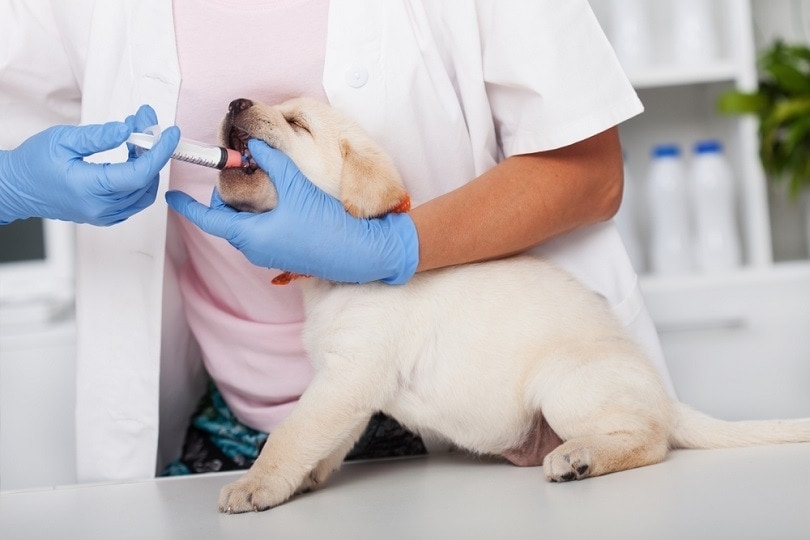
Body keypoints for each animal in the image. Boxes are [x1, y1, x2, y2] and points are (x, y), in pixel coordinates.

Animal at [213, 97, 800, 516]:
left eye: (295, 121)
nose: (235, 101)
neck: (329, 282)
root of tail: (667, 399)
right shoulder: (347, 389)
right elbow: (325, 441)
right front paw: (307, 477)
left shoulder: (348, 377)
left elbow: (293, 432)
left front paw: (256, 484)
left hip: (565, 384)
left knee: (652, 441)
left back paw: (580, 457)